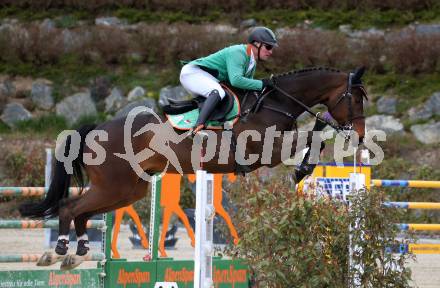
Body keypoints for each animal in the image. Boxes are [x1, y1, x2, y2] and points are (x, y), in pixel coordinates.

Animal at [18, 66, 368, 268]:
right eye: (355, 99)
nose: (361, 135)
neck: (274, 103)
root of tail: (96, 129)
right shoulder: (264, 152)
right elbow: (313, 137)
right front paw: (302, 169)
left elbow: (315, 134)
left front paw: (304, 167)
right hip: (113, 187)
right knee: (69, 206)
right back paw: (61, 248)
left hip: (128, 190)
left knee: (82, 210)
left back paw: (79, 248)